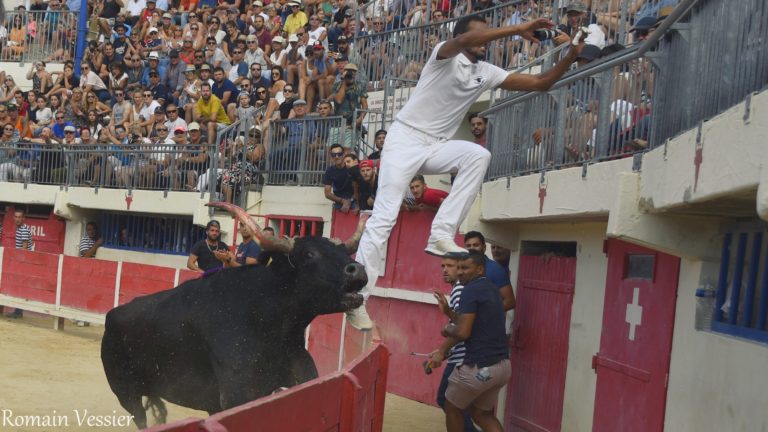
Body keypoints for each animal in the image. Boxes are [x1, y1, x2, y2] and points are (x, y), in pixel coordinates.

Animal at [101, 204, 368, 426]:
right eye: (309, 254)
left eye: (342, 250)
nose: (358, 270)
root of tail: (112, 315)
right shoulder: (238, 394)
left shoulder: (303, 374)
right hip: (125, 391)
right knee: (140, 417)